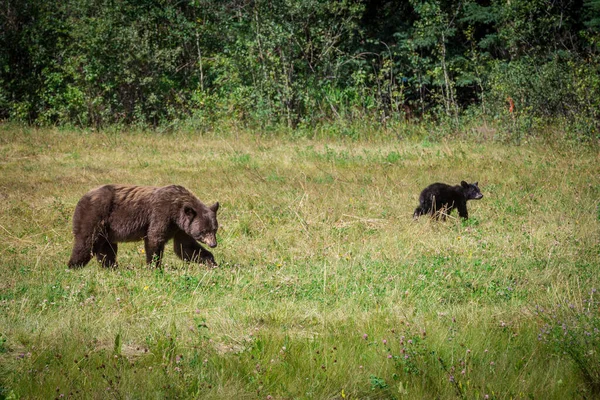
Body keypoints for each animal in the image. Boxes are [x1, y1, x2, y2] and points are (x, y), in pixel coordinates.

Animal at [68, 185, 218, 268]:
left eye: (214, 229)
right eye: (204, 231)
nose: (213, 244)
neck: (177, 211)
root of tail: (83, 197)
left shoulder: (180, 228)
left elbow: (185, 247)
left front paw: (211, 262)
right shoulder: (161, 214)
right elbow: (154, 238)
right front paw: (154, 266)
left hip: (107, 230)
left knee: (107, 249)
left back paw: (111, 267)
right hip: (94, 216)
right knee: (86, 243)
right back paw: (73, 266)